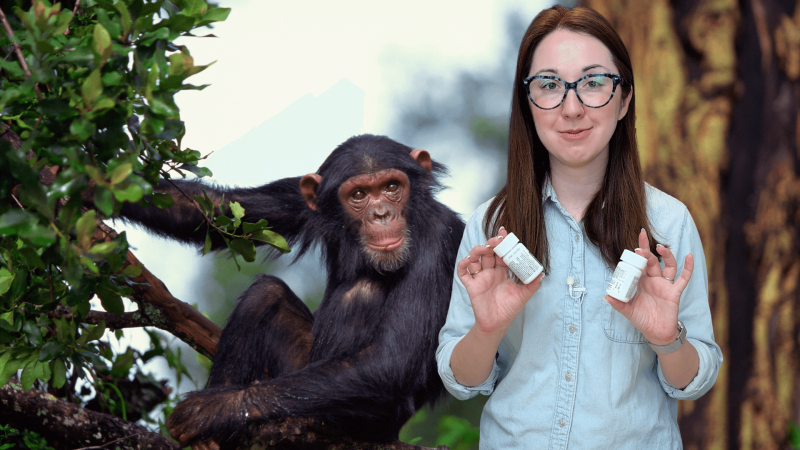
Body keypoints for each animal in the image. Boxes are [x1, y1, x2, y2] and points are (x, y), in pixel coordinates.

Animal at [112, 135, 462, 448]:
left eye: (392, 188)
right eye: (359, 194)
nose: (381, 214)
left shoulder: (437, 238)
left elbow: (391, 359)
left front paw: (212, 410)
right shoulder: (302, 196)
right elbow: (216, 212)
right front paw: (103, 187)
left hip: (379, 419)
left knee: (364, 293)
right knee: (265, 294)